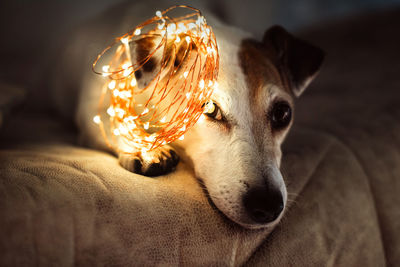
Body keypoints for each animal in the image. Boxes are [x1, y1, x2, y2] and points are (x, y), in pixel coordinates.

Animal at [50, 0, 324, 230]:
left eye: (282, 113)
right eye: (210, 109)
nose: (267, 206)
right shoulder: (92, 108)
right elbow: (112, 122)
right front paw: (144, 148)